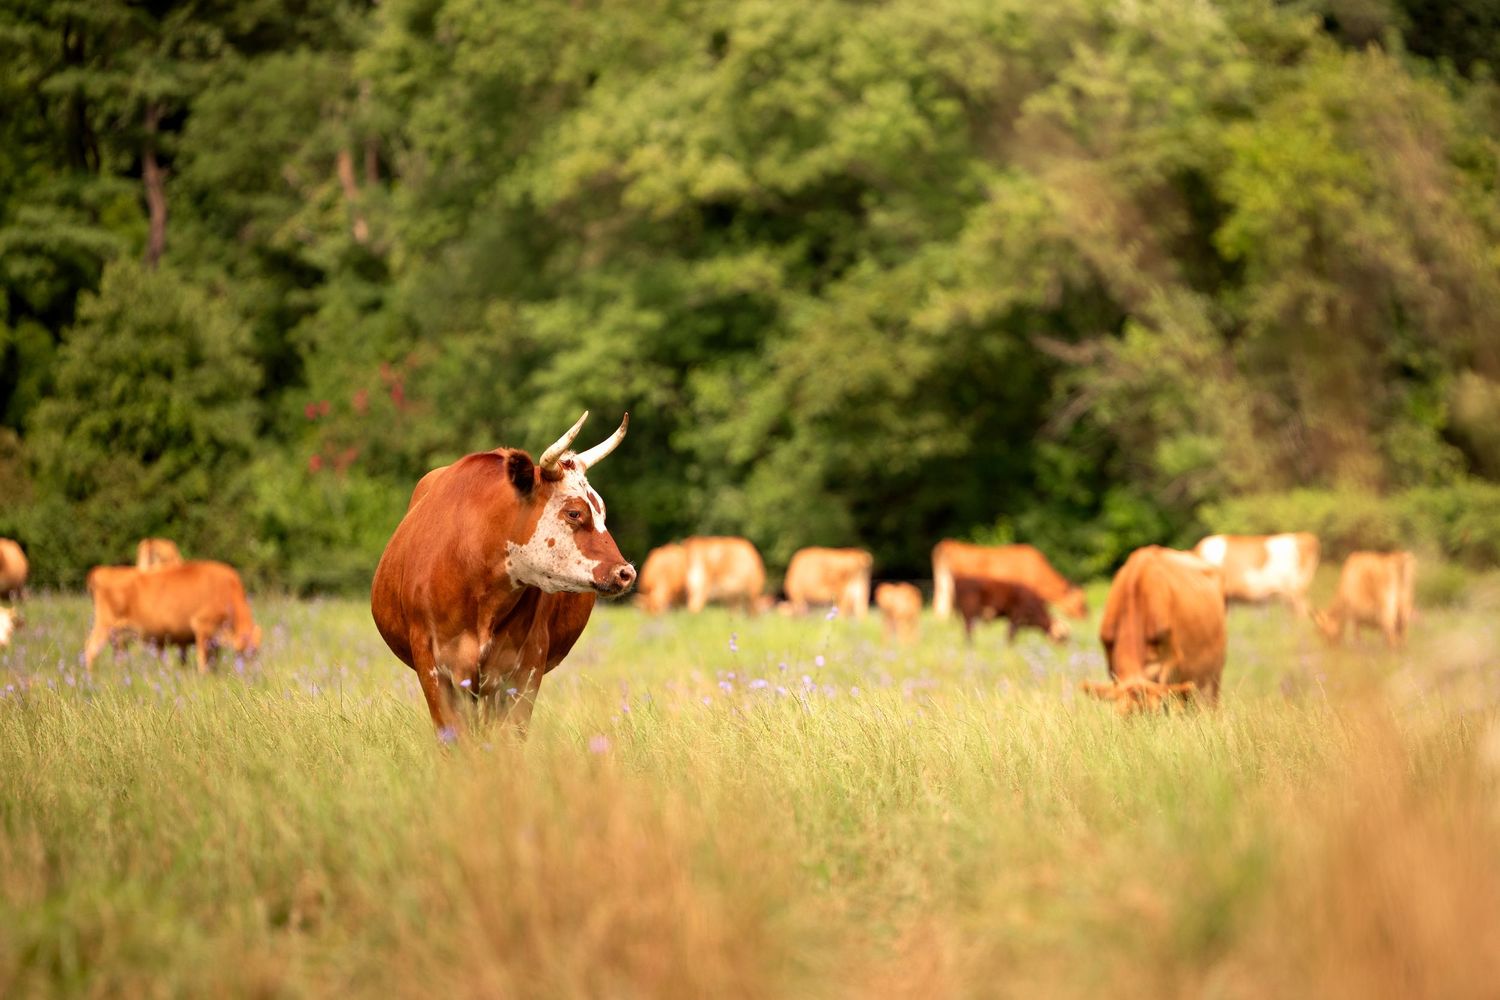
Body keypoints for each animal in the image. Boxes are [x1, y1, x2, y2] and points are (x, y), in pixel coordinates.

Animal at [84, 561, 261, 673]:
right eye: (247, 652)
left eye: (256, 652)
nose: (250, 674)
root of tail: (102, 571)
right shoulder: (203, 628)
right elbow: (203, 661)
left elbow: (212, 661)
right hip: (104, 626)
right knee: (90, 649)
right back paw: (91, 677)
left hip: (120, 636)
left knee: (118, 657)